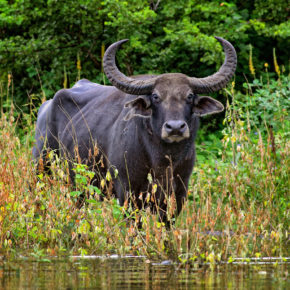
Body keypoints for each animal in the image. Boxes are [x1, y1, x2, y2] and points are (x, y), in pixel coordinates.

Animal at [33, 36, 236, 222]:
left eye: (190, 96)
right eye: (155, 96)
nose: (175, 127)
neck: (162, 160)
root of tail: (46, 107)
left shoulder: (177, 195)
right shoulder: (127, 194)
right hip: (42, 170)